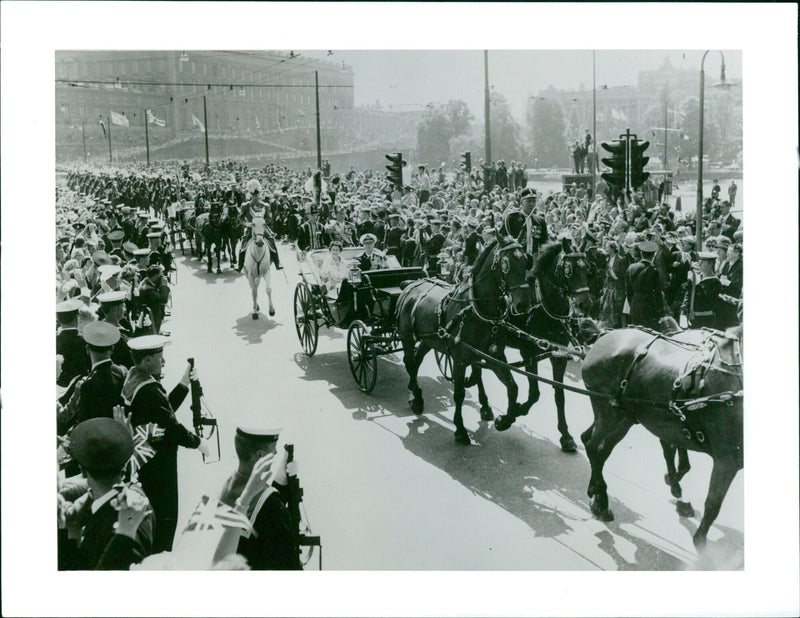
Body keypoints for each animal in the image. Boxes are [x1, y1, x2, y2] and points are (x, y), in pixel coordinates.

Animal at [394, 236, 532, 442]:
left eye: (525, 261)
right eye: (506, 264)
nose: (523, 304)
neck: (477, 310)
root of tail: (411, 285)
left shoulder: (495, 357)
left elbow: (512, 387)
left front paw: (505, 420)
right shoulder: (459, 360)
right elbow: (459, 394)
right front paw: (460, 429)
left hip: (429, 340)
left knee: (416, 360)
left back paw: (415, 393)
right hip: (407, 337)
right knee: (410, 362)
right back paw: (416, 398)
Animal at [468, 243, 592, 450]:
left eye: (588, 268)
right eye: (569, 270)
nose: (586, 304)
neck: (546, 306)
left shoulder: (558, 356)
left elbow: (559, 395)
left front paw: (565, 435)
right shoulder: (529, 352)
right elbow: (534, 393)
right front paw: (513, 413)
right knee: (476, 366)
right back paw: (485, 406)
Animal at [580, 324, 744, 548]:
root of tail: (604, 336)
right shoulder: (727, 460)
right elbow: (713, 503)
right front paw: (700, 541)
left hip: (626, 416)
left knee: (598, 448)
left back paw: (595, 494)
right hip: (607, 411)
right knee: (593, 446)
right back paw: (602, 502)